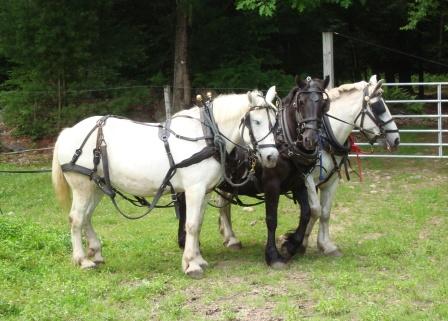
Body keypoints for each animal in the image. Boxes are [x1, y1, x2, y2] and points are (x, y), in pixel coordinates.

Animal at [51, 86, 276, 276]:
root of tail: (69, 131)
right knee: (76, 219)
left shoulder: (205, 191)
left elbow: (198, 224)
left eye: (274, 122)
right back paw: (82, 260)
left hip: (96, 187)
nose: (272, 156)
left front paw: (198, 259)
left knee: (86, 218)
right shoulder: (194, 189)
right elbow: (191, 225)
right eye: (256, 122)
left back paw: (96, 254)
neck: (207, 134)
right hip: (82, 186)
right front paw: (191, 264)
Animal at [178, 77, 328, 268]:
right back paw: (186, 242)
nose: (311, 139)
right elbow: (271, 219)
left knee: (222, 205)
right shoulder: (272, 184)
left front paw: (291, 245)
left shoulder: (298, 183)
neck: (284, 142)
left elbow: (307, 213)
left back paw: (230, 239)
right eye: (301, 102)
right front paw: (273, 255)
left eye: (323, 104)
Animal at [215, 75, 400, 258]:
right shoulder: (307, 178)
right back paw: (231, 238)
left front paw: (324, 245)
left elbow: (324, 212)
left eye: (324, 105)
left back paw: (230, 237)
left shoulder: (331, 180)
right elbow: (314, 210)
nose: (396, 139)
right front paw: (296, 243)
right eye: (378, 107)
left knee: (224, 201)